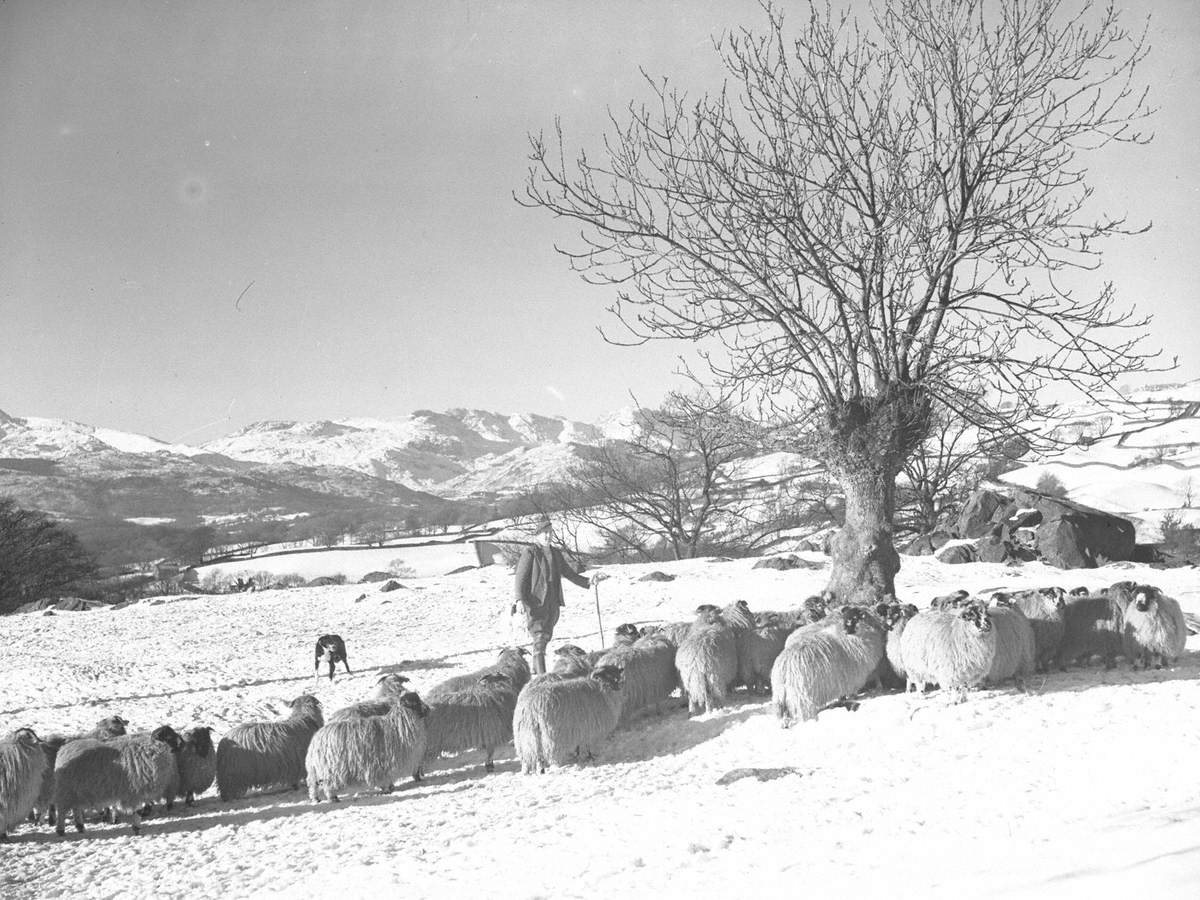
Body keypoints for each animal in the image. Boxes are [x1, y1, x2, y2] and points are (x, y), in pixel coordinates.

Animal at [52, 724, 182, 840]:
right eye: (168, 736)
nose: (182, 744)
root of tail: (63, 750)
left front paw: (135, 827)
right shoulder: (135, 791)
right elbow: (137, 811)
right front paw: (136, 829)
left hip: (77, 791)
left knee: (76, 808)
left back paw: (80, 827)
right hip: (66, 790)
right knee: (62, 810)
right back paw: (61, 830)